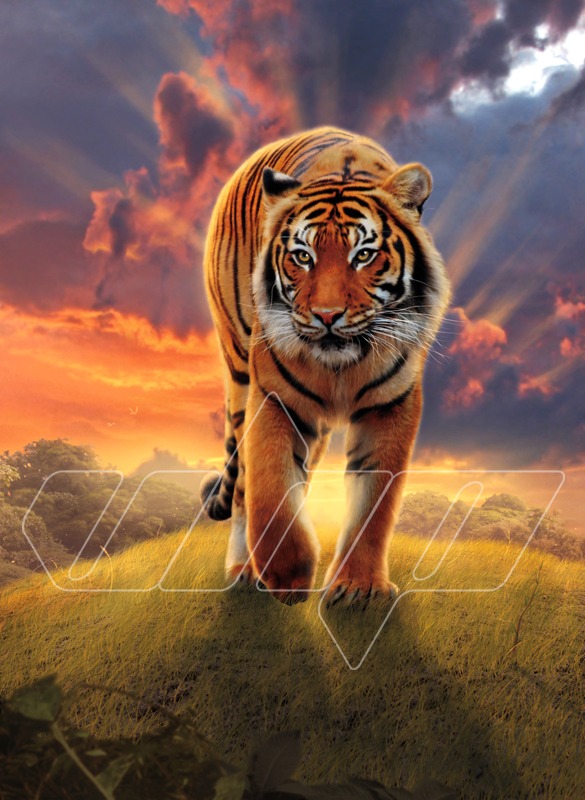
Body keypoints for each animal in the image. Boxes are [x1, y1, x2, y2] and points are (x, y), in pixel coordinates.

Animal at [199, 126, 450, 606]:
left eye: (363, 255)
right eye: (302, 256)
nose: (327, 315)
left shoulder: (391, 404)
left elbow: (374, 501)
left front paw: (357, 588)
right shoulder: (274, 396)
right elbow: (271, 489)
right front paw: (285, 574)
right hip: (238, 369)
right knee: (242, 485)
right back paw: (244, 568)